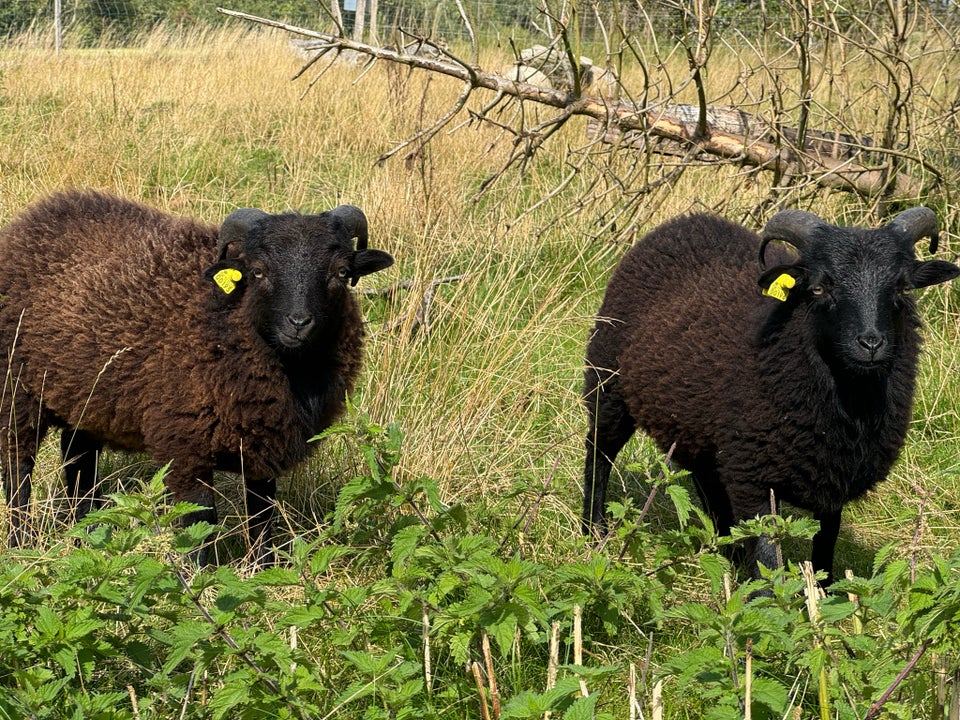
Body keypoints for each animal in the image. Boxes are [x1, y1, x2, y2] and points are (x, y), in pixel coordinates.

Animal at [0, 188, 394, 560]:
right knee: (17, 471)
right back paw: (21, 543)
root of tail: (32, 219)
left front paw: (262, 569)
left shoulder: (262, 448)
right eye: (258, 271)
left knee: (79, 465)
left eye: (341, 273)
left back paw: (87, 538)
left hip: (85, 400)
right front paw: (201, 580)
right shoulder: (186, 447)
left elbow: (262, 521)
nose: (298, 323)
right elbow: (200, 525)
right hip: (14, 391)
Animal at [584, 207, 960, 580]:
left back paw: (729, 553)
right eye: (819, 288)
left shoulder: (832, 477)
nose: (870, 344)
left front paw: (822, 591)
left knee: (706, 480)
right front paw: (766, 591)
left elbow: (825, 545)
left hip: (696, 425)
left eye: (902, 287)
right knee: (599, 451)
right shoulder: (753, 474)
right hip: (607, 382)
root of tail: (685, 221)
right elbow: (768, 558)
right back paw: (594, 532)